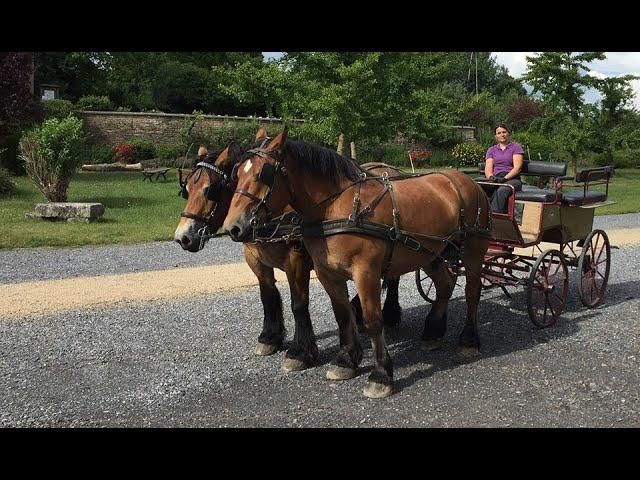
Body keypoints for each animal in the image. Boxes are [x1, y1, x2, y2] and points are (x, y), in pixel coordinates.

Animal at [175, 129, 402, 374]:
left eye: (210, 190)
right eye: (187, 190)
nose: (182, 237)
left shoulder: (297, 259)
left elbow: (299, 304)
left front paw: (300, 351)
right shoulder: (255, 260)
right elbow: (267, 297)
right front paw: (269, 338)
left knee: (393, 276)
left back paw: (390, 312)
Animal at [225, 126, 490, 398]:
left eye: (263, 174)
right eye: (237, 173)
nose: (233, 227)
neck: (338, 207)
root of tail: (469, 181)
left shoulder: (365, 272)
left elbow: (372, 320)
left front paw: (381, 374)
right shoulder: (327, 273)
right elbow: (342, 314)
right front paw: (346, 361)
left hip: (473, 249)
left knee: (472, 290)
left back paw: (469, 339)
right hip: (430, 252)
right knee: (445, 284)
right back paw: (433, 332)